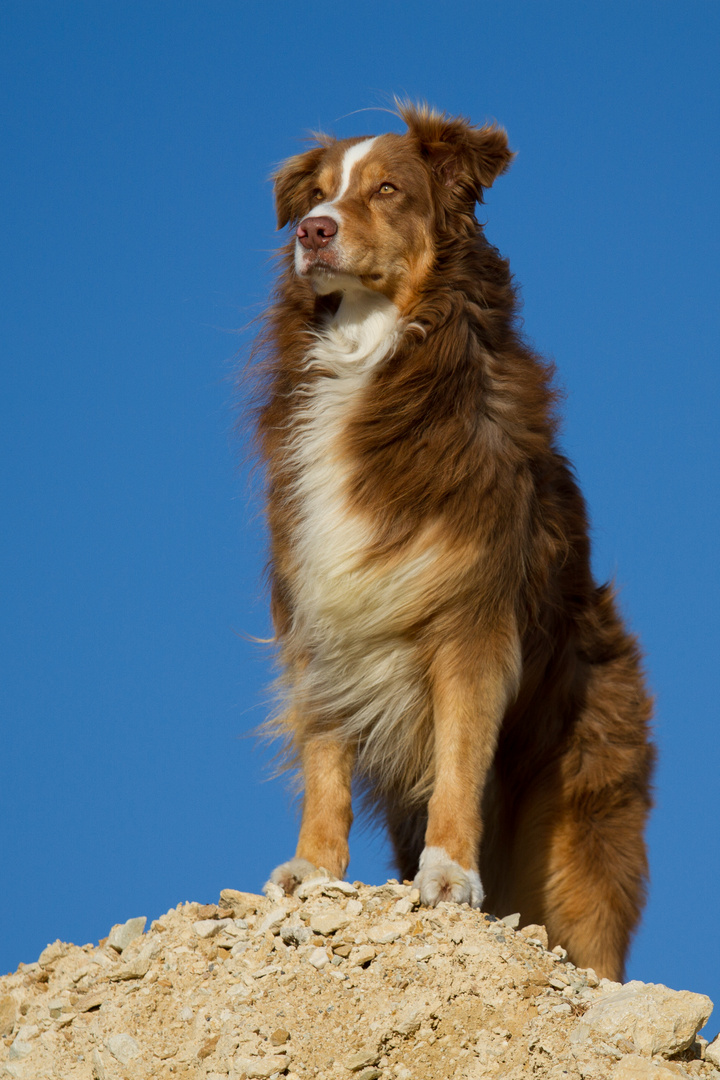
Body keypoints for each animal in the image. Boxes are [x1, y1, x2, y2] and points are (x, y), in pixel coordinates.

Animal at [255, 105, 656, 984]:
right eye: (319, 191)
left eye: (388, 189)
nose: (312, 230)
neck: (377, 356)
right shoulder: (322, 612)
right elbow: (325, 756)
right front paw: (312, 869)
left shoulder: (473, 616)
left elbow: (461, 754)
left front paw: (447, 875)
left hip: (582, 823)